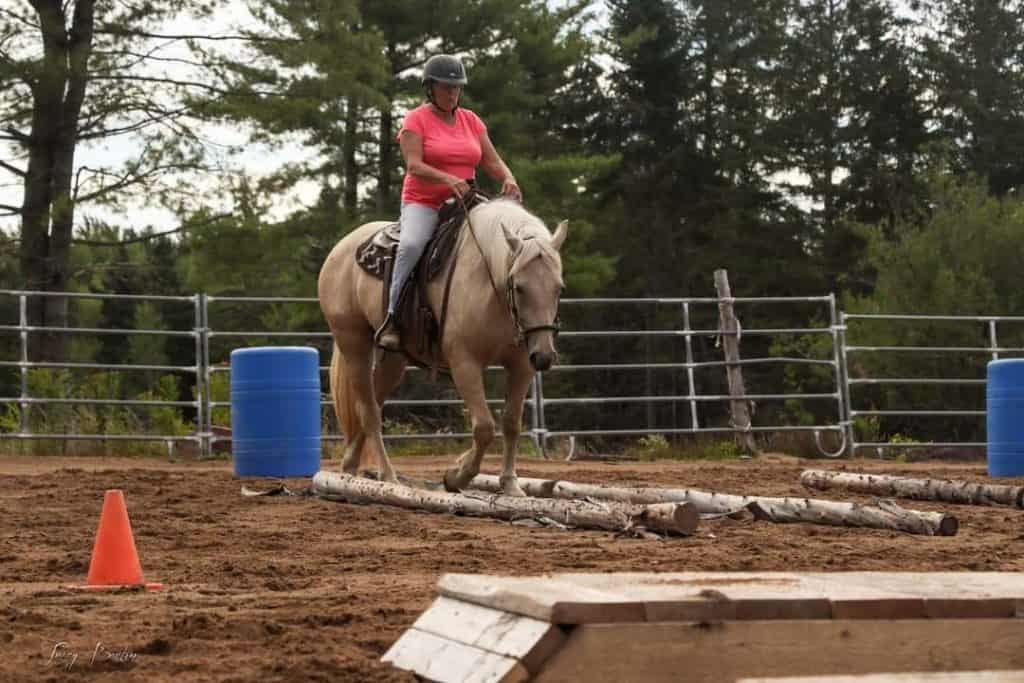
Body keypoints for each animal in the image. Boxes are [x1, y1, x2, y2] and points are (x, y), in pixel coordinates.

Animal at [317, 198, 567, 496]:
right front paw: (457, 476)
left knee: (367, 405)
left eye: (559, 288)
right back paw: (388, 477)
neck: (488, 282)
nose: (544, 357)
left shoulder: (520, 366)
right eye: (519, 287)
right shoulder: (465, 363)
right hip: (354, 344)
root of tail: (341, 248)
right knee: (369, 413)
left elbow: (511, 424)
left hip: (393, 360)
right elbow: (484, 427)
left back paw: (349, 467)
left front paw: (510, 484)